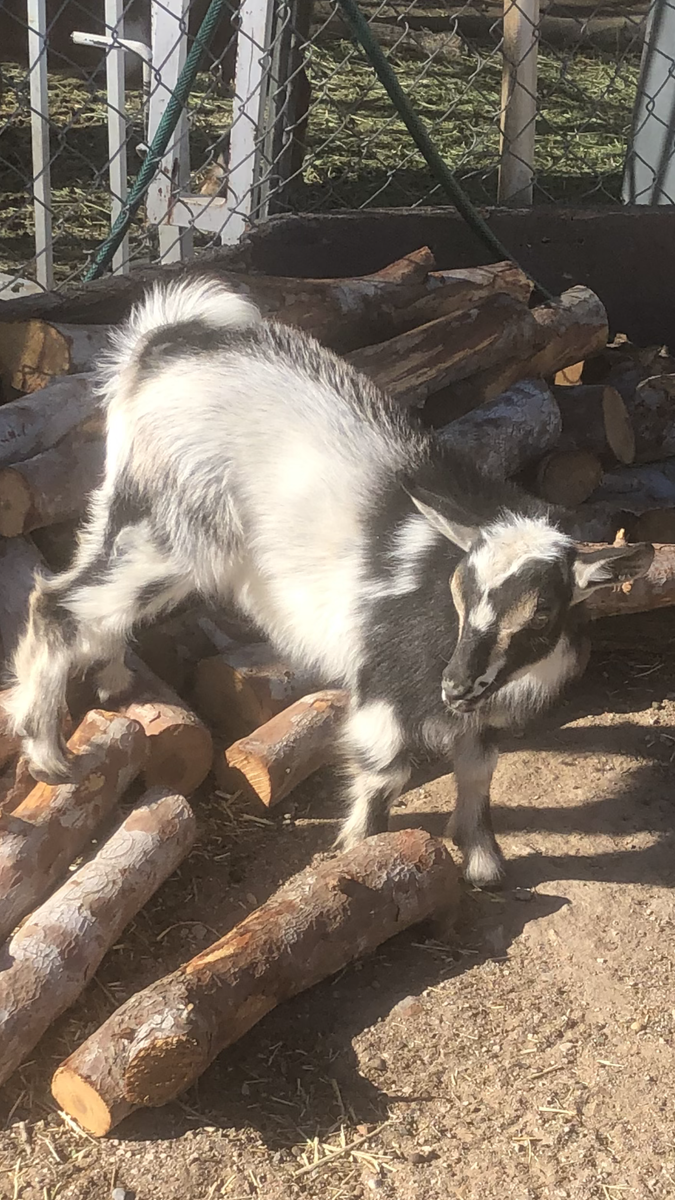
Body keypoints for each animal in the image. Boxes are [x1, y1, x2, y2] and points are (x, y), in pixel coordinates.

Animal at [4, 279, 653, 887]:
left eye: (543, 612)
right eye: (460, 591)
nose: (455, 685)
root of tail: (169, 341)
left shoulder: (482, 717)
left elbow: (477, 770)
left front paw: (482, 862)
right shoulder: (385, 686)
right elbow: (385, 771)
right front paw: (362, 854)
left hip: (128, 511)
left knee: (93, 591)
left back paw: (112, 682)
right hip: (170, 529)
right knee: (57, 603)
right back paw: (49, 756)